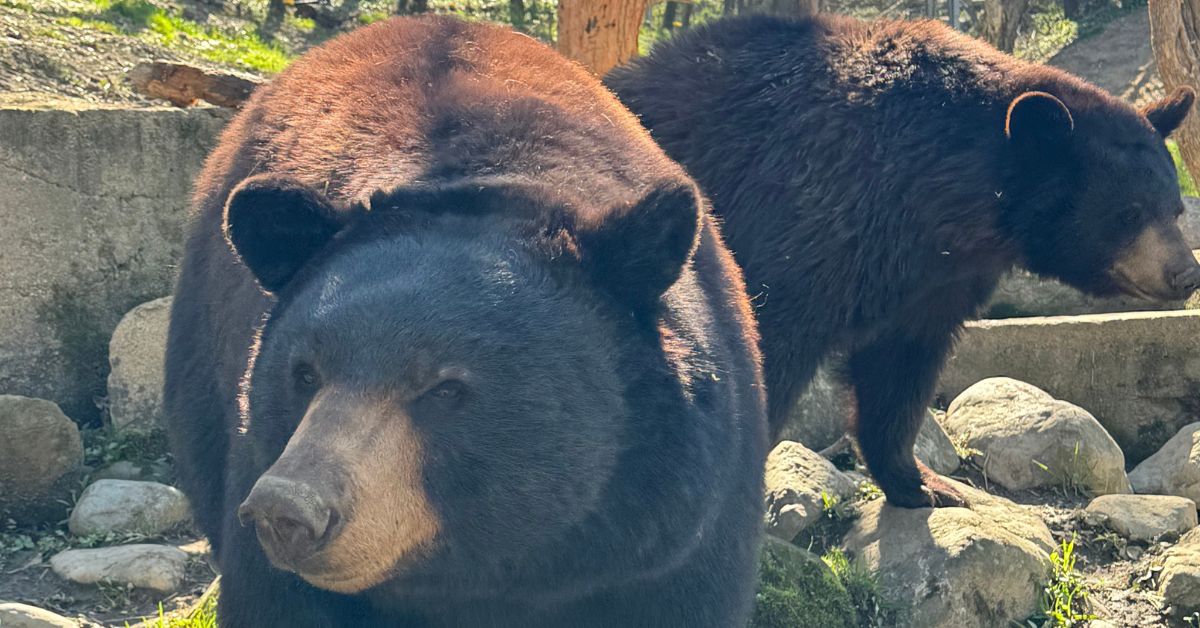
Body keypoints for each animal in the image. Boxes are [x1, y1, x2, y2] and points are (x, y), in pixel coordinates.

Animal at [609, 14, 1200, 509]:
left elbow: (900, 368)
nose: (1185, 273)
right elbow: (766, 346)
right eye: (1127, 213)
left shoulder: (934, 279)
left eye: (1174, 207)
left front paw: (925, 485)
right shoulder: (803, 219)